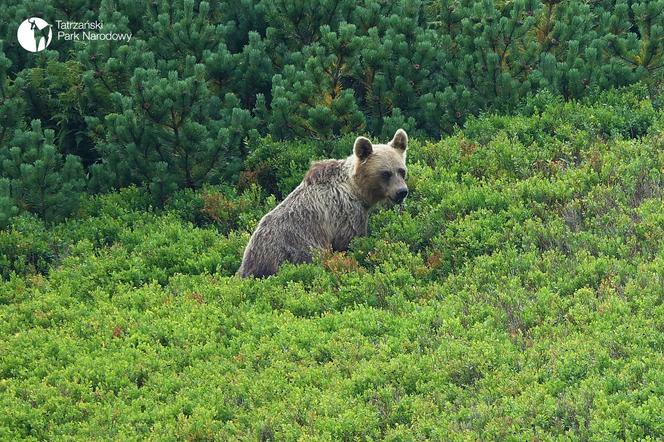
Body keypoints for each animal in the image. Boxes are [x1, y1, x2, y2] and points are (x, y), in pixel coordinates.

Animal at [236, 129, 408, 278]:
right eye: (385, 173)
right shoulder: (347, 213)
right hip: (295, 248)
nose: (402, 192)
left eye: (402, 170)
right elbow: (350, 241)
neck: (356, 190)